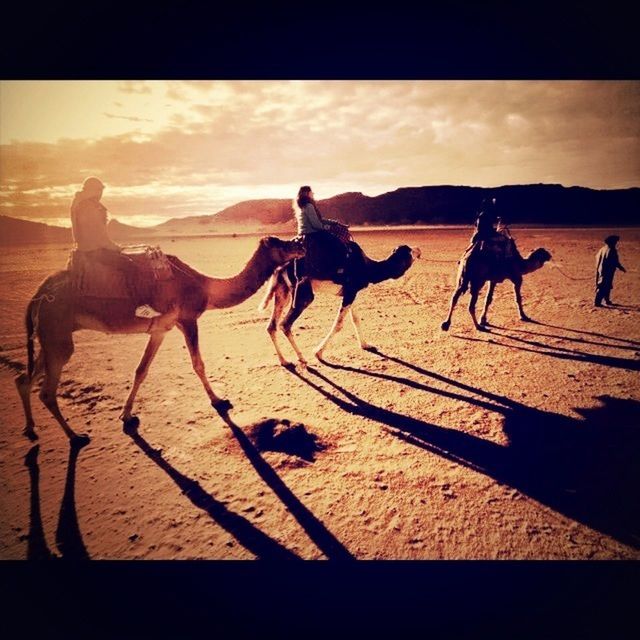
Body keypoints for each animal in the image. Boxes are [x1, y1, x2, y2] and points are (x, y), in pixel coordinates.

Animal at [14, 236, 304, 444]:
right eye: (281, 243)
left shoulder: (160, 329)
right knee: (46, 391)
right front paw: (219, 400)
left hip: (50, 335)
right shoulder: (187, 318)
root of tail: (37, 295)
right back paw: (75, 436)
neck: (205, 286)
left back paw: (30, 428)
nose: (300, 244)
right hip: (58, 334)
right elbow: (198, 364)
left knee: (24, 378)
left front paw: (126, 414)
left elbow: (141, 370)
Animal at [258, 240, 422, 364]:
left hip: (283, 291)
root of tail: (280, 267)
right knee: (285, 324)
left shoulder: (352, 292)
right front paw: (318, 353)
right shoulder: (350, 291)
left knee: (271, 326)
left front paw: (366, 345)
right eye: (409, 251)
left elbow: (356, 319)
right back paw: (302, 358)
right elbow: (339, 324)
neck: (368, 268)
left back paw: (284, 361)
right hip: (303, 293)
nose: (419, 249)